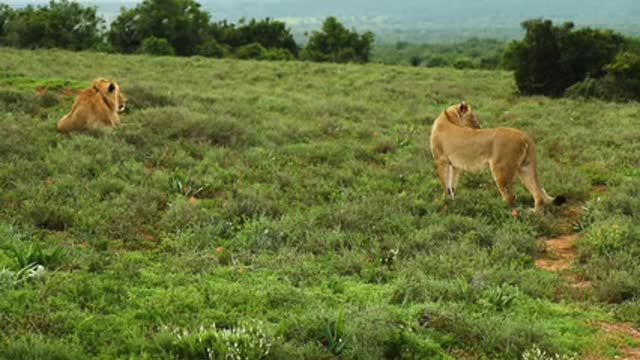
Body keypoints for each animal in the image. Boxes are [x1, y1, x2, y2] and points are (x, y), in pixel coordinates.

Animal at [430, 101, 564, 211]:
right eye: (473, 116)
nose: (479, 126)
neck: (449, 117)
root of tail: (525, 135)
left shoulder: (440, 160)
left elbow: (444, 183)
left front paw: (443, 203)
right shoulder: (454, 165)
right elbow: (451, 184)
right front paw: (452, 200)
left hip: (501, 169)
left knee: (511, 197)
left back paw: (497, 208)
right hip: (525, 168)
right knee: (538, 193)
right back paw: (533, 213)